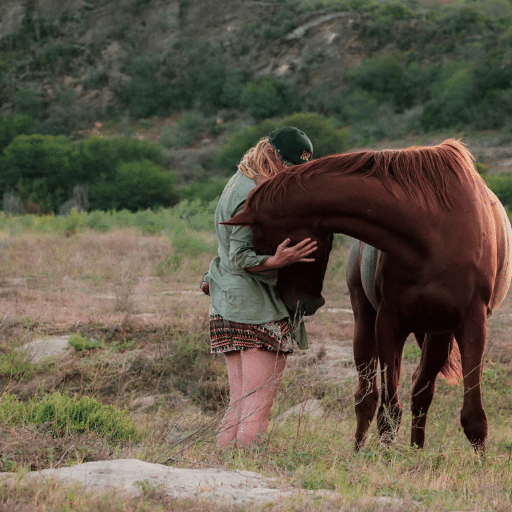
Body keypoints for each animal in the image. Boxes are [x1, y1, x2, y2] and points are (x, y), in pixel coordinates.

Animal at [224, 140, 512, 452]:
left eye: (267, 245)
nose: (302, 304)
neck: (433, 231)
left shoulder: (472, 323)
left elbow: (474, 417)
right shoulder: (388, 323)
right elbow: (388, 411)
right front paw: (384, 457)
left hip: (439, 333)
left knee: (420, 391)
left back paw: (416, 450)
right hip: (367, 324)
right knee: (367, 398)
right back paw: (361, 451)